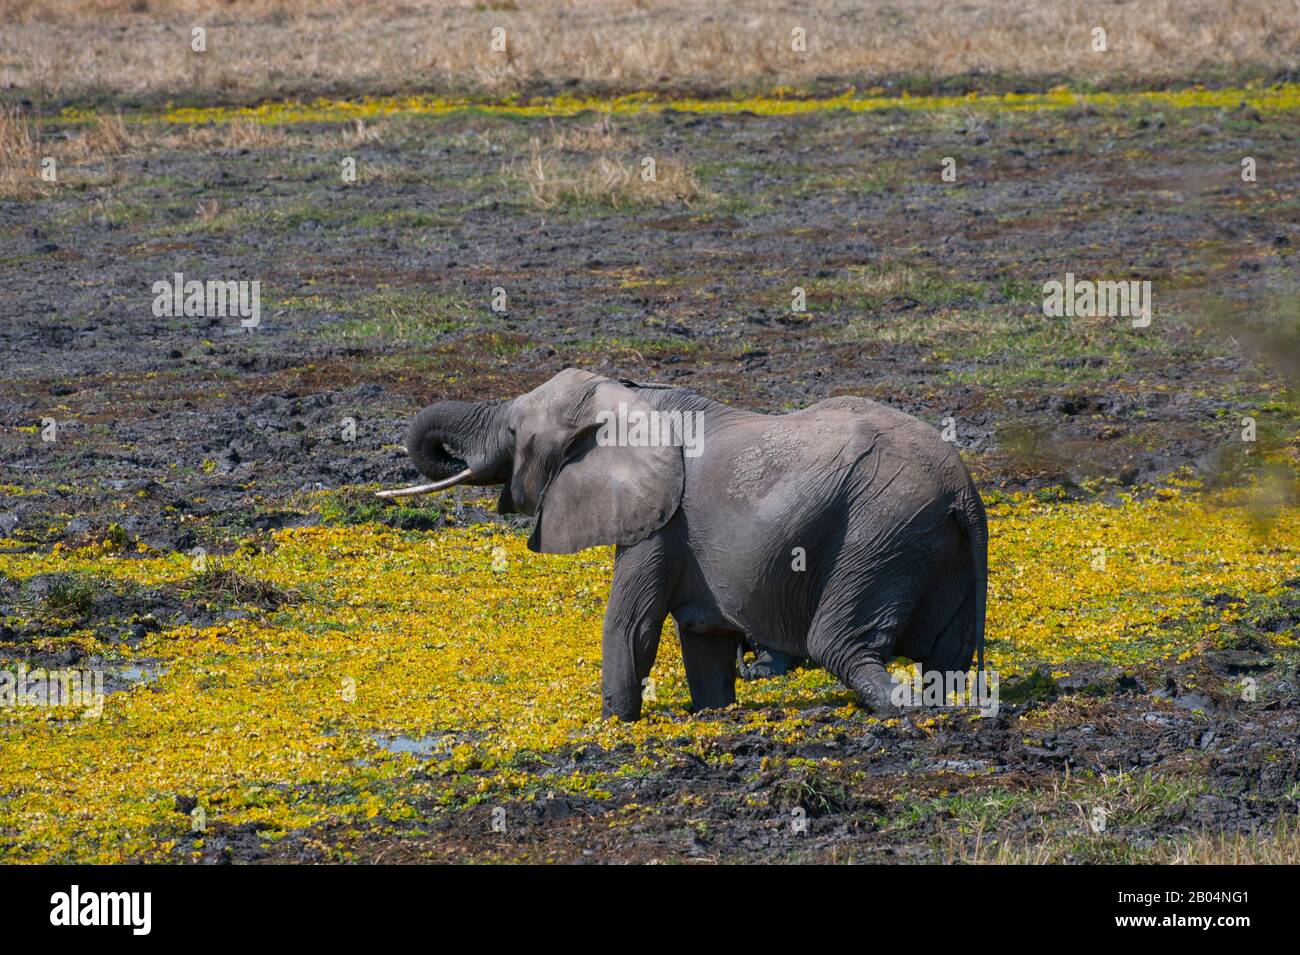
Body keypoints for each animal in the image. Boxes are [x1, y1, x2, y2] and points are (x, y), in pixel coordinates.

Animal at [377, 368, 988, 721]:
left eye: (512, 435)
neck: (628, 396)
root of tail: (964, 488)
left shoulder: (662, 519)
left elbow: (630, 625)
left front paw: (614, 728)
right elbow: (704, 639)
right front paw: (713, 713)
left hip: (880, 532)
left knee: (839, 645)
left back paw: (902, 709)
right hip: (932, 544)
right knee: (947, 658)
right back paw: (945, 702)